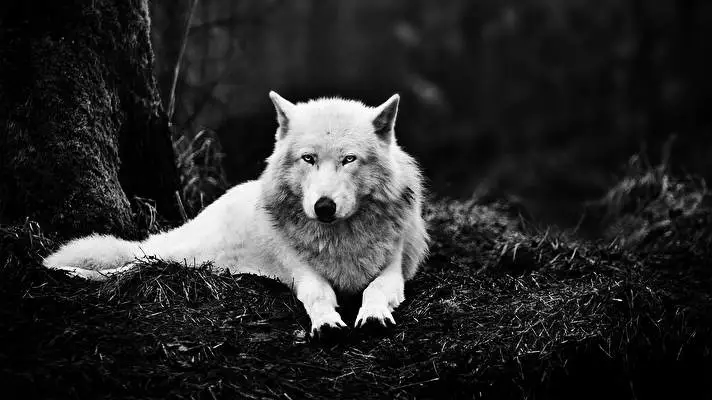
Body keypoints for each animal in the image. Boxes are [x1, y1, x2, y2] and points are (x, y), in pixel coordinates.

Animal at [43, 91, 429, 336]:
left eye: (349, 159)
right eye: (308, 159)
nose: (324, 206)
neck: (339, 239)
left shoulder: (394, 272)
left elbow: (374, 290)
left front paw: (373, 314)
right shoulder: (303, 274)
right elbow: (319, 295)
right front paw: (326, 323)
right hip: (181, 255)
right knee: (132, 263)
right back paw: (68, 271)